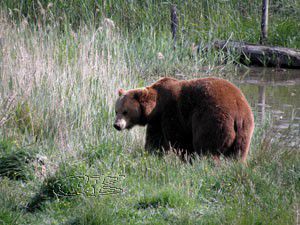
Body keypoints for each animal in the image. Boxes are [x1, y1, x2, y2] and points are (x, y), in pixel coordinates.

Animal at [113, 77, 254, 162]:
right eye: (116, 110)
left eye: (125, 111)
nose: (117, 125)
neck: (156, 107)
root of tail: (238, 113)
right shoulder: (157, 121)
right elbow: (155, 141)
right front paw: (151, 154)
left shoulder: (172, 112)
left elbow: (179, 140)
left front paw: (186, 158)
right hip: (245, 131)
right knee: (238, 154)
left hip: (213, 120)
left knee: (207, 147)